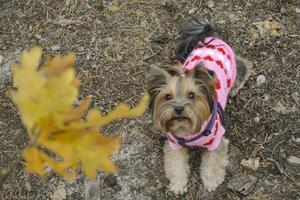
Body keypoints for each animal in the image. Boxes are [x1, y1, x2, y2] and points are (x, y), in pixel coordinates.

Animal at [146, 18, 252, 195]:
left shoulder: (217, 140)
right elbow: (175, 164)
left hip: (234, 66)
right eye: (168, 97)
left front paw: (211, 182)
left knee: (243, 65)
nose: (178, 109)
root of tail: (210, 34)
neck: (187, 130)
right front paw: (178, 184)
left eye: (191, 95)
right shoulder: (174, 144)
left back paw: (236, 86)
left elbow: (214, 162)